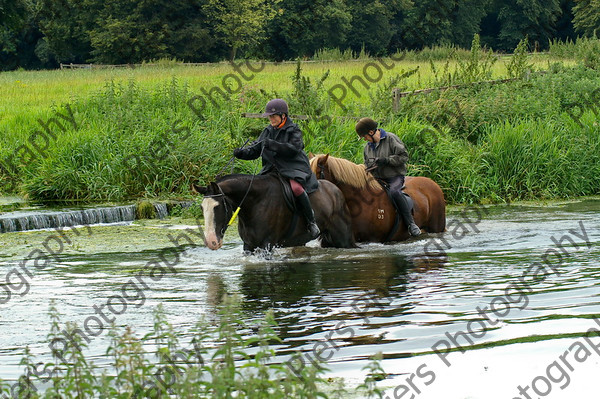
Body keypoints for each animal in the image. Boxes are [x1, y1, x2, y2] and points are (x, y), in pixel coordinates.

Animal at [191, 173, 356, 252]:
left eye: (217, 207)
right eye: (202, 208)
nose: (211, 242)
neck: (255, 203)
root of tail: (336, 190)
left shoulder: (267, 245)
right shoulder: (248, 246)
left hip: (344, 240)